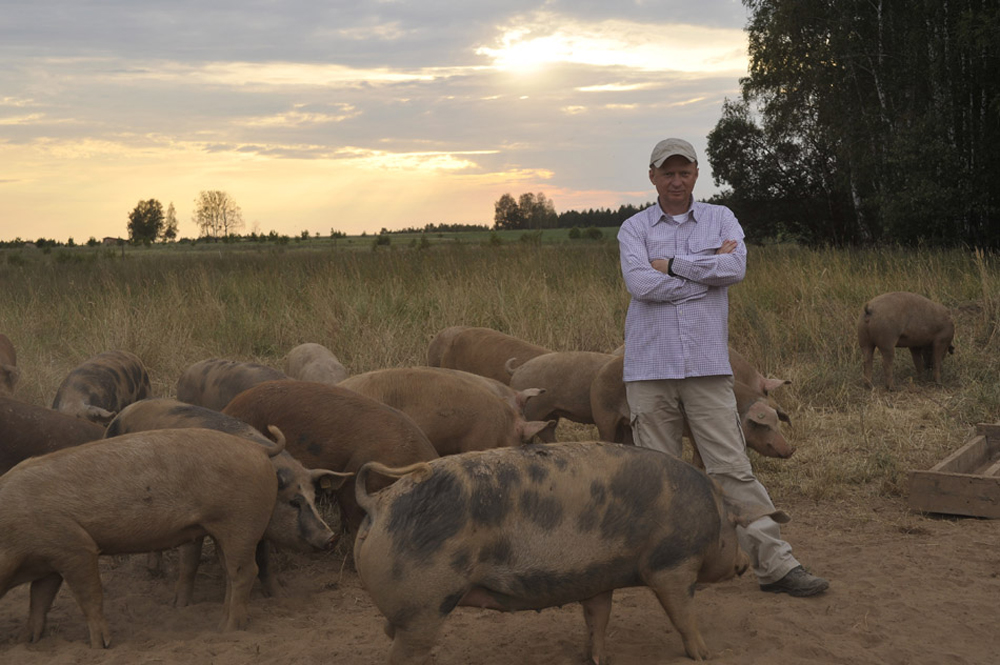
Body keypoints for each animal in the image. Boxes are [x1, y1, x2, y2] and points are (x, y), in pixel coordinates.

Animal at [0, 428, 282, 644]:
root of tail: (258, 448)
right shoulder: (49, 561)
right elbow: (39, 601)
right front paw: (26, 641)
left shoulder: (75, 546)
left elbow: (89, 596)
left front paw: (101, 645)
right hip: (224, 530)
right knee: (230, 573)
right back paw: (222, 623)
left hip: (241, 523)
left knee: (245, 572)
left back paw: (228, 629)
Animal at [354, 440, 788, 664]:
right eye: (734, 527)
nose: (743, 565)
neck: (710, 510)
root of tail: (376, 503)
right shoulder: (671, 566)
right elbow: (682, 613)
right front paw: (705, 655)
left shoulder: (598, 577)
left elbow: (598, 618)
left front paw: (597, 660)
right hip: (427, 603)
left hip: (413, 607)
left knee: (391, 634)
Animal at [588, 358, 792, 462]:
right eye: (763, 425)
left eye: (777, 423)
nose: (791, 449)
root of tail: (599, 374)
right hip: (604, 417)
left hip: (627, 427)